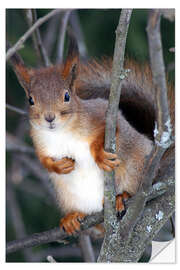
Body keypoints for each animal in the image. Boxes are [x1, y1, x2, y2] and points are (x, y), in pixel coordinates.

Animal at [8, 37, 174, 235]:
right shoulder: (39, 141)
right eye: (30, 100)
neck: (60, 132)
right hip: (68, 196)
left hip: (136, 169)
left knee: (133, 189)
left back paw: (121, 197)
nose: (49, 118)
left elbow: (107, 132)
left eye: (67, 96)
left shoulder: (102, 115)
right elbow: (43, 160)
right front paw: (58, 166)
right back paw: (73, 218)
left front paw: (100, 155)